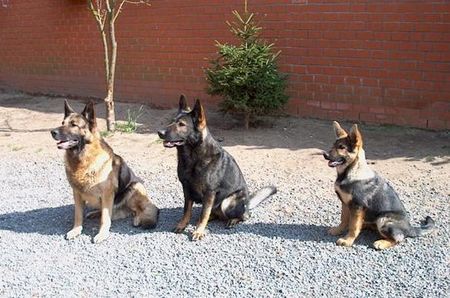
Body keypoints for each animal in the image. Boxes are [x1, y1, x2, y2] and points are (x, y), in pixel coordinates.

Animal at [50, 100, 159, 242]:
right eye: (62, 123)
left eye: (74, 125)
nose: (52, 132)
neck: (83, 159)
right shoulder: (77, 194)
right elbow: (78, 215)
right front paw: (76, 230)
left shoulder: (107, 194)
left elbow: (105, 218)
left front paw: (102, 234)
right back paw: (95, 213)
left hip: (135, 186)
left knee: (140, 209)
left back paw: (137, 219)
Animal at [158, 95, 278, 240]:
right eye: (172, 122)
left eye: (181, 124)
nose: (159, 132)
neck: (192, 157)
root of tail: (248, 203)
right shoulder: (186, 189)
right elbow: (187, 211)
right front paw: (182, 225)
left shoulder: (209, 193)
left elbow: (204, 214)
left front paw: (199, 231)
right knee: (213, 213)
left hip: (227, 202)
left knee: (244, 215)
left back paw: (232, 220)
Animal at [324, 121, 436, 249]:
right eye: (333, 145)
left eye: (342, 147)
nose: (324, 154)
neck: (351, 171)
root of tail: (409, 228)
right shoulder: (345, 203)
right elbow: (344, 219)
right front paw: (339, 230)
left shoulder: (357, 206)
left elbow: (353, 226)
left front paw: (348, 240)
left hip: (383, 219)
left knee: (398, 239)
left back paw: (381, 242)